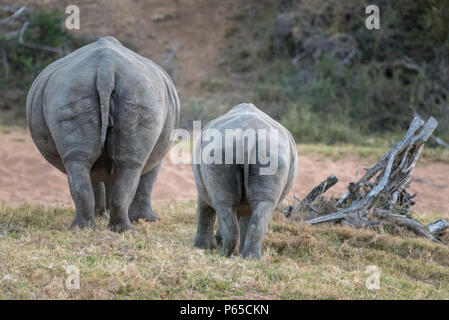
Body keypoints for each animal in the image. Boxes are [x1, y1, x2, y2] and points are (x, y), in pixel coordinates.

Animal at [26, 36, 178, 232]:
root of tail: (106, 69)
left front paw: (105, 214)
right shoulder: (159, 152)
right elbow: (146, 180)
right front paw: (147, 220)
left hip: (74, 89)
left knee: (81, 160)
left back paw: (87, 229)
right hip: (141, 92)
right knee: (128, 165)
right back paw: (122, 229)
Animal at [192, 104, 298, 258]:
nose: (217, 240)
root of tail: (248, 137)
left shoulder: (202, 189)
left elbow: (205, 211)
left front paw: (203, 248)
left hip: (224, 151)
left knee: (224, 204)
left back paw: (226, 255)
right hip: (271, 155)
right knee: (262, 204)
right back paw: (251, 258)